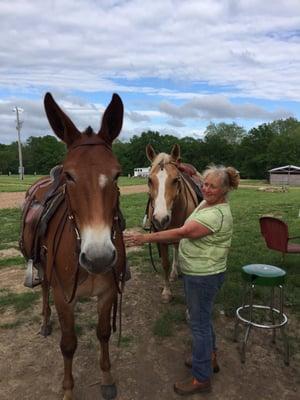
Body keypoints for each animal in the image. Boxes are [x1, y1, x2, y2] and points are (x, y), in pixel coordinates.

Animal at [19, 92, 125, 398]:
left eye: (117, 174)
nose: (98, 258)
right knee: (43, 290)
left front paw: (107, 378)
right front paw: (68, 389)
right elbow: (68, 343)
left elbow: (103, 333)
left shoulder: (107, 293)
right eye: (69, 175)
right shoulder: (62, 295)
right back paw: (45, 322)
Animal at [145, 145, 202, 304]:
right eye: (149, 180)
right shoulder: (161, 238)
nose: (160, 219)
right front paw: (166, 292)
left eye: (176, 180)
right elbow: (165, 263)